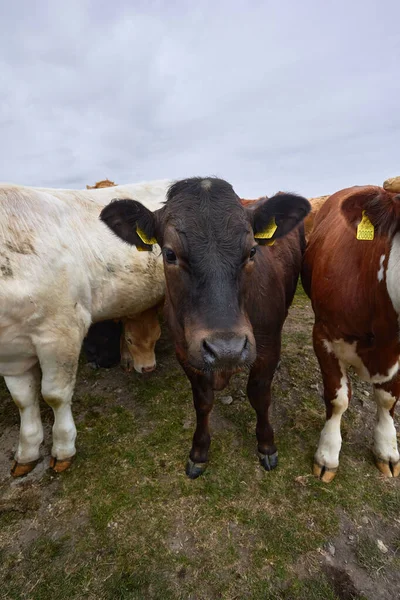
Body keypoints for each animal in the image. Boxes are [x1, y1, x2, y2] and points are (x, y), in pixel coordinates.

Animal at [0, 180, 170, 476]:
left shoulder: (61, 333)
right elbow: (23, 399)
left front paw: (63, 448)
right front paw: (27, 452)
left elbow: (54, 395)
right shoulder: (10, 350)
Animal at [100, 176, 310, 476]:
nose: (226, 350)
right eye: (170, 254)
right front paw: (199, 451)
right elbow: (202, 402)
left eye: (252, 250)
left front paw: (267, 445)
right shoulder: (185, 352)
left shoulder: (268, 346)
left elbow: (259, 395)